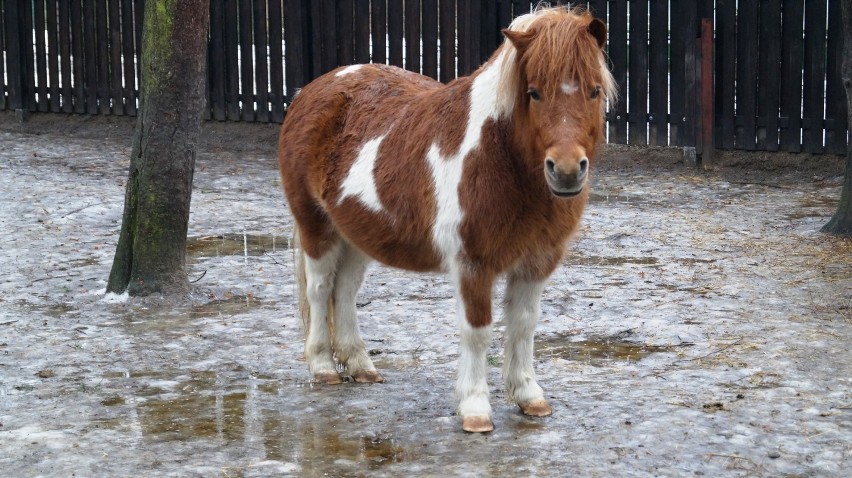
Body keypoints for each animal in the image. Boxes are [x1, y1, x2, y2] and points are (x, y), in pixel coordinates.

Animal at [278, 6, 612, 434]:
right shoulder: (473, 264)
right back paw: (322, 367)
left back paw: (361, 366)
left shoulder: (536, 263)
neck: (498, 156)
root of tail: (310, 91)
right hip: (316, 227)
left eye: (594, 90)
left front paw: (529, 396)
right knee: (320, 291)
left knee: (346, 291)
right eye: (533, 92)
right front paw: (475, 409)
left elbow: (523, 325)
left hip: (357, 234)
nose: (567, 171)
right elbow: (478, 331)